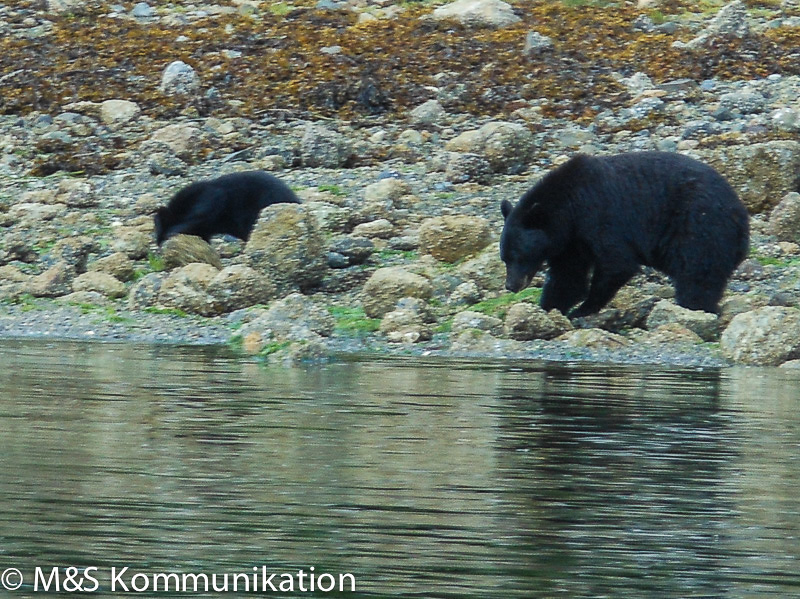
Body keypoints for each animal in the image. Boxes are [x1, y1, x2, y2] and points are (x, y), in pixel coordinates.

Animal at [500, 151, 752, 318]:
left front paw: (582, 310)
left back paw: (695, 308)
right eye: (505, 258)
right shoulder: (572, 241)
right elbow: (568, 277)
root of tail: (741, 214)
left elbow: (617, 263)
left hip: (700, 227)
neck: (570, 208)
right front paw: (548, 308)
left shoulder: (601, 217)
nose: (511, 286)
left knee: (697, 275)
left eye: (519, 255)